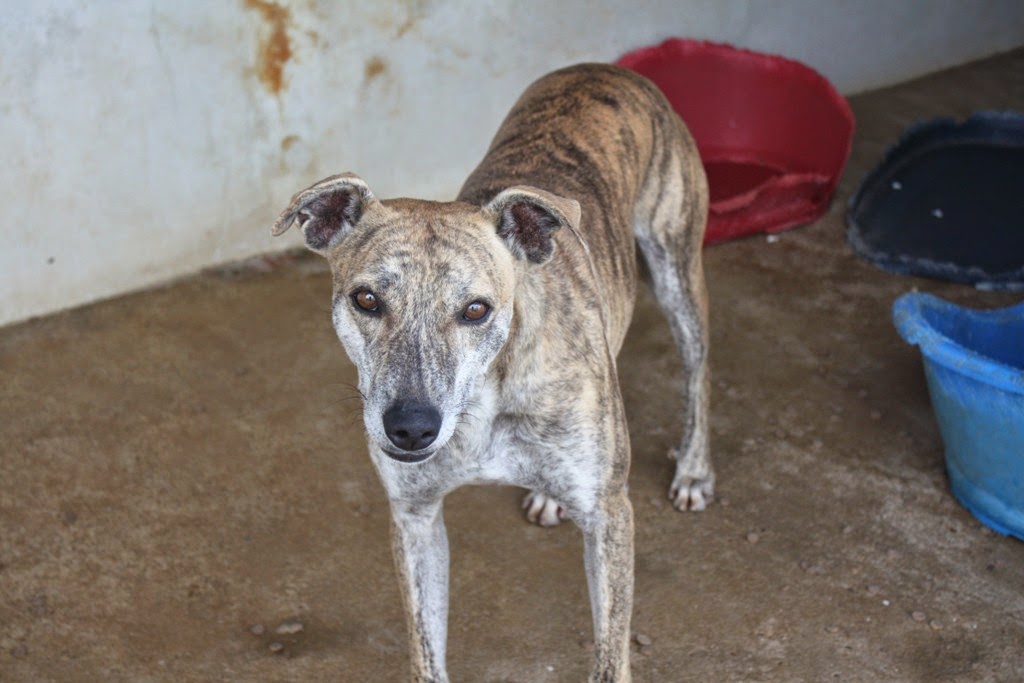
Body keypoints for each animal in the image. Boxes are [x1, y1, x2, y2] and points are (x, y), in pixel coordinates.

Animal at [271, 63, 711, 682]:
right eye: (366, 299)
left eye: (476, 309)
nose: (410, 429)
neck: (481, 407)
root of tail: (607, 68)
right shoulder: (415, 520)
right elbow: (426, 654)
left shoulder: (610, 516)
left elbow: (608, 657)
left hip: (678, 271)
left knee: (699, 372)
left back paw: (694, 470)